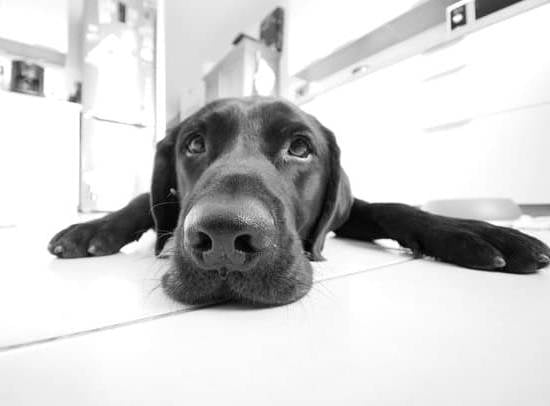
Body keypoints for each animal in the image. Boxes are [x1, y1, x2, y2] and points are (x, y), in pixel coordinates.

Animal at [47, 96, 550, 306]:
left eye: (301, 147)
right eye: (194, 144)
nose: (225, 237)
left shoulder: (350, 209)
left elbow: (393, 208)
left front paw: (475, 230)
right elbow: (142, 202)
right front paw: (92, 228)